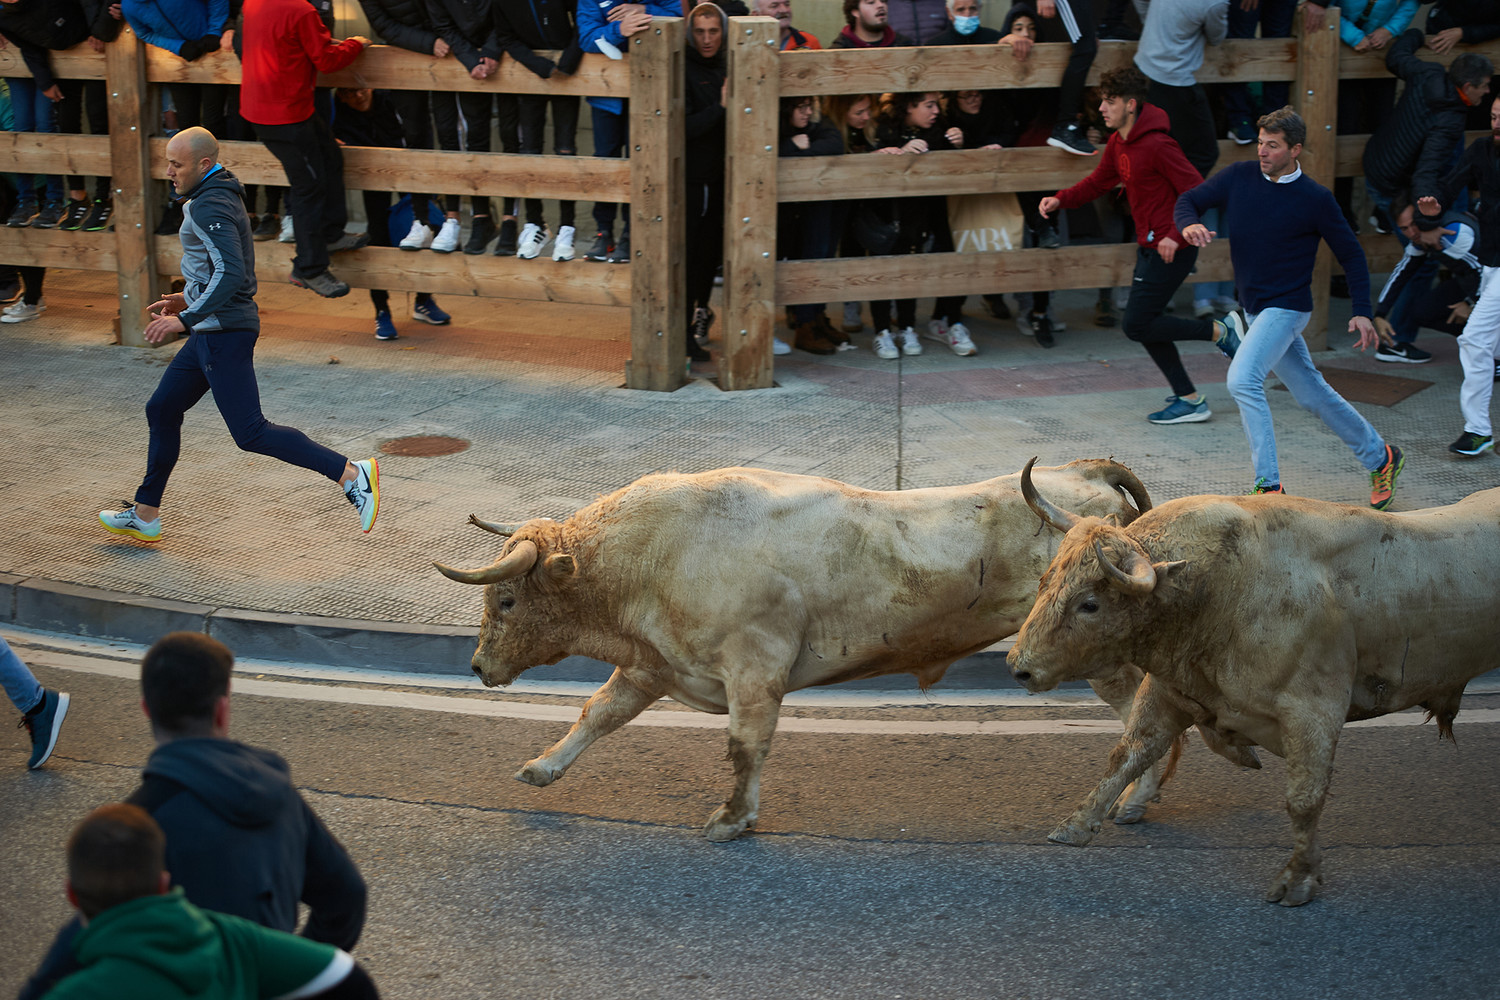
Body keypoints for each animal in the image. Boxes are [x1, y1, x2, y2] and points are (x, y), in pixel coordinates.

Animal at [438, 461, 1152, 845]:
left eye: (506, 600)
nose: (475, 666)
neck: (654, 554)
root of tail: (1082, 474)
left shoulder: (755, 668)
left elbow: (745, 744)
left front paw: (733, 818)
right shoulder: (650, 666)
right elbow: (598, 715)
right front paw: (541, 768)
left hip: (1100, 656)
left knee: (1145, 717)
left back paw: (1131, 802)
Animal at [1008, 461, 1500, 905]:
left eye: (1090, 604)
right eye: (1046, 579)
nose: (1019, 667)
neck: (1222, 587)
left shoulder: (1314, 711)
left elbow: (1303, 798)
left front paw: (1299, 878)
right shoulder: (1169, 690)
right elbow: (1129, 753)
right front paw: (1077, 824)